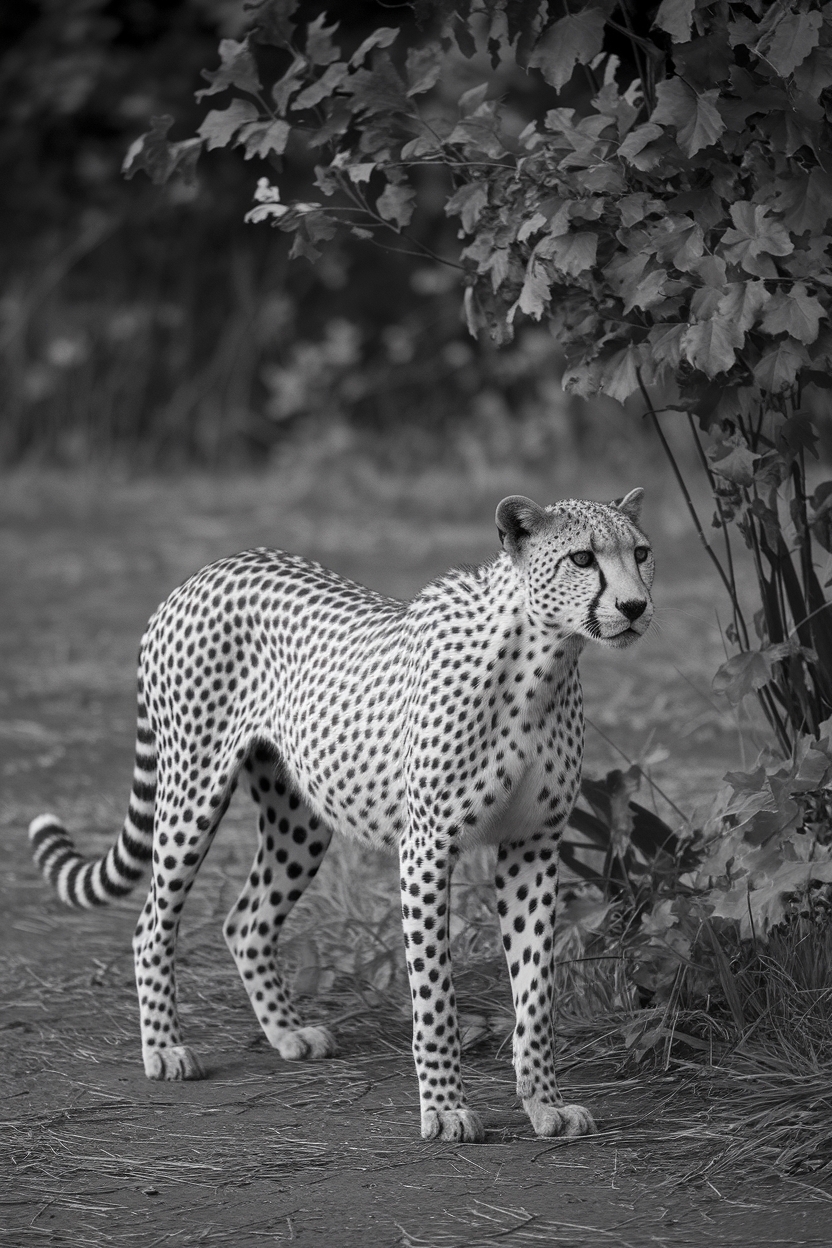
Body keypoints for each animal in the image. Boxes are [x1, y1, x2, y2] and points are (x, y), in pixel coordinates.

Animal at [28, 489, 654, 1143]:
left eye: (640, 553)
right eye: (582, 558)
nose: (635, 605)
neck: (540, 661)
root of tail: (204, 571)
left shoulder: (533, 845)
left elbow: (536, 994)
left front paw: (544, 1102)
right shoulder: (427, 846)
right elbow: (434, 994)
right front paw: (445, 1107)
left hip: (300, 820)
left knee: (245, 921)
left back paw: (286, 1033)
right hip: (191, 791)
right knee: (152, 922)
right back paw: (164, 1048)